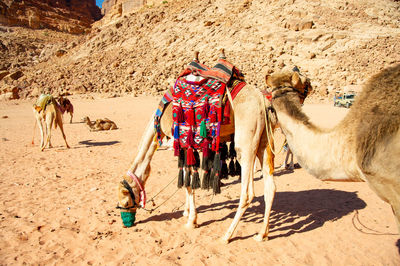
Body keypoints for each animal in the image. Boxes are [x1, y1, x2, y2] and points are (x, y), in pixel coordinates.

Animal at [116, 50, 282, 243]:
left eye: (126, 201)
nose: (126, 223)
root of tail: (263, 101)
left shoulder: (181, 142)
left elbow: (188, 183)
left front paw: (191, 220)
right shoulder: (188, 145)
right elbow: (187, 179)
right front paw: (186, 212)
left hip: (246, 143)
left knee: (247, 193)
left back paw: (226, 236)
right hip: (265, 141)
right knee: (270, 187)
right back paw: (262, 234)